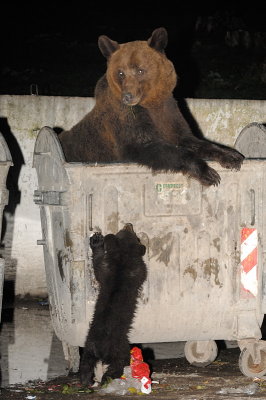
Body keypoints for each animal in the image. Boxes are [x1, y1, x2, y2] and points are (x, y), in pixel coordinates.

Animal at [59, 27, 244, 187]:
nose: (128, 96)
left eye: (140, 70)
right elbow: (147, 146)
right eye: (120, 72)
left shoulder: (168, 111)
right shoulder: (126, 117)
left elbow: (188, 138)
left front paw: (232, 156)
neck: (150, 103)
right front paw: (208, 173)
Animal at [79, 223, 148, 386]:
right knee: (117, 365)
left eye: (121, 231)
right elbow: (142, 273)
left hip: (88, 346)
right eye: (135, 236)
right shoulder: (137, 270)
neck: (122, 258)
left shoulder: (106, 269)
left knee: (85, 365)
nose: (129, 224)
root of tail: (100, 350)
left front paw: (96, 241)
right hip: (120, 349)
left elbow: (98, 265)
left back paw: (87, 381)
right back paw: (107, 379)